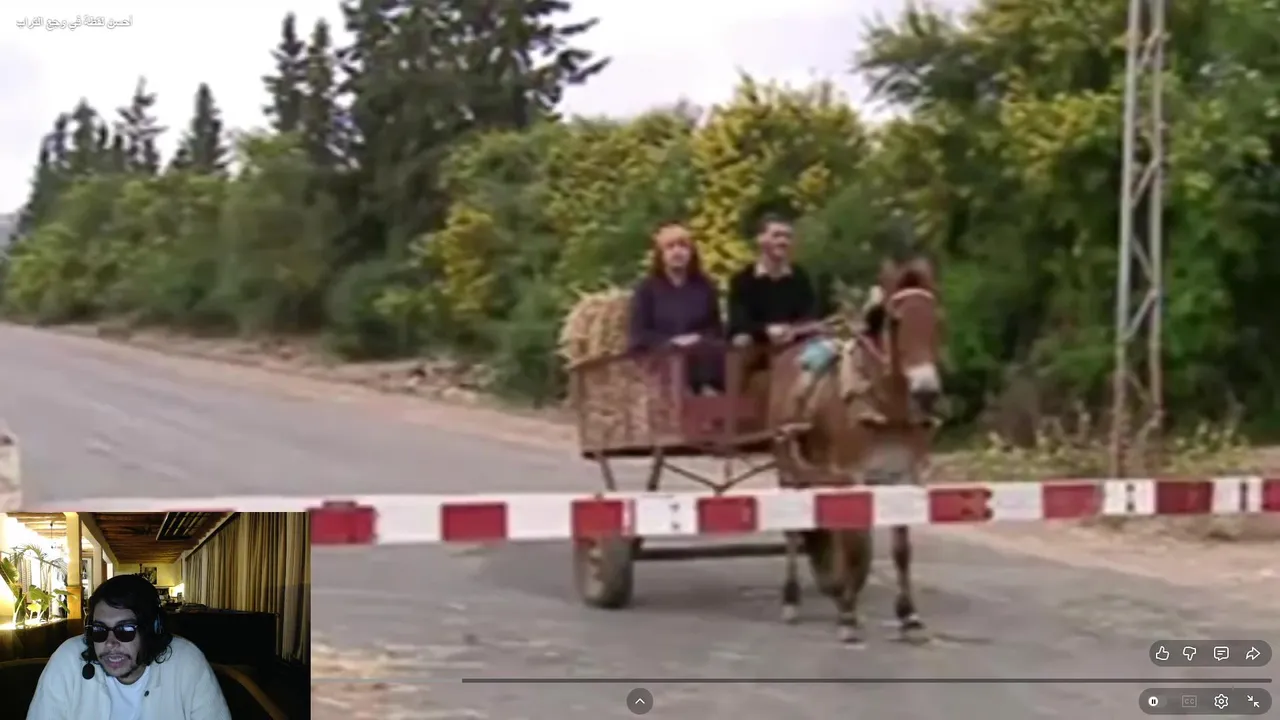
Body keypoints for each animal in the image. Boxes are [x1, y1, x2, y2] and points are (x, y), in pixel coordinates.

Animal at [767, 255, 943, 643]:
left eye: (937, 318)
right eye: (895, 321)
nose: (926, 391)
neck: (886, 407)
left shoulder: (905, 475)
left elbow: (901, 549)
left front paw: (909, 616)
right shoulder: (851, 476)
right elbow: (855, 542)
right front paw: (847, 614)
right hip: (789, 469)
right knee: (792, 533)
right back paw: (792, 599)